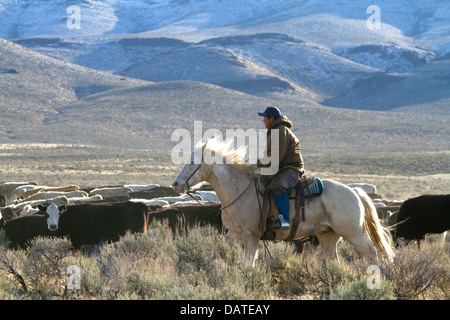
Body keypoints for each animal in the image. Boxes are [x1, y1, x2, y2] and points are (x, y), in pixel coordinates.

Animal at [172, 138, 394, 264]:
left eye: (192, 161)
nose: (176, 184)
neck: (238, 190)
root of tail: (354, 191)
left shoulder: (250, 236)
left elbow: (248, 264)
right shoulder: (234, 234)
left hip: (353, 234)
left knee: (374, 254)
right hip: (328, 236)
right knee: (335, 262)